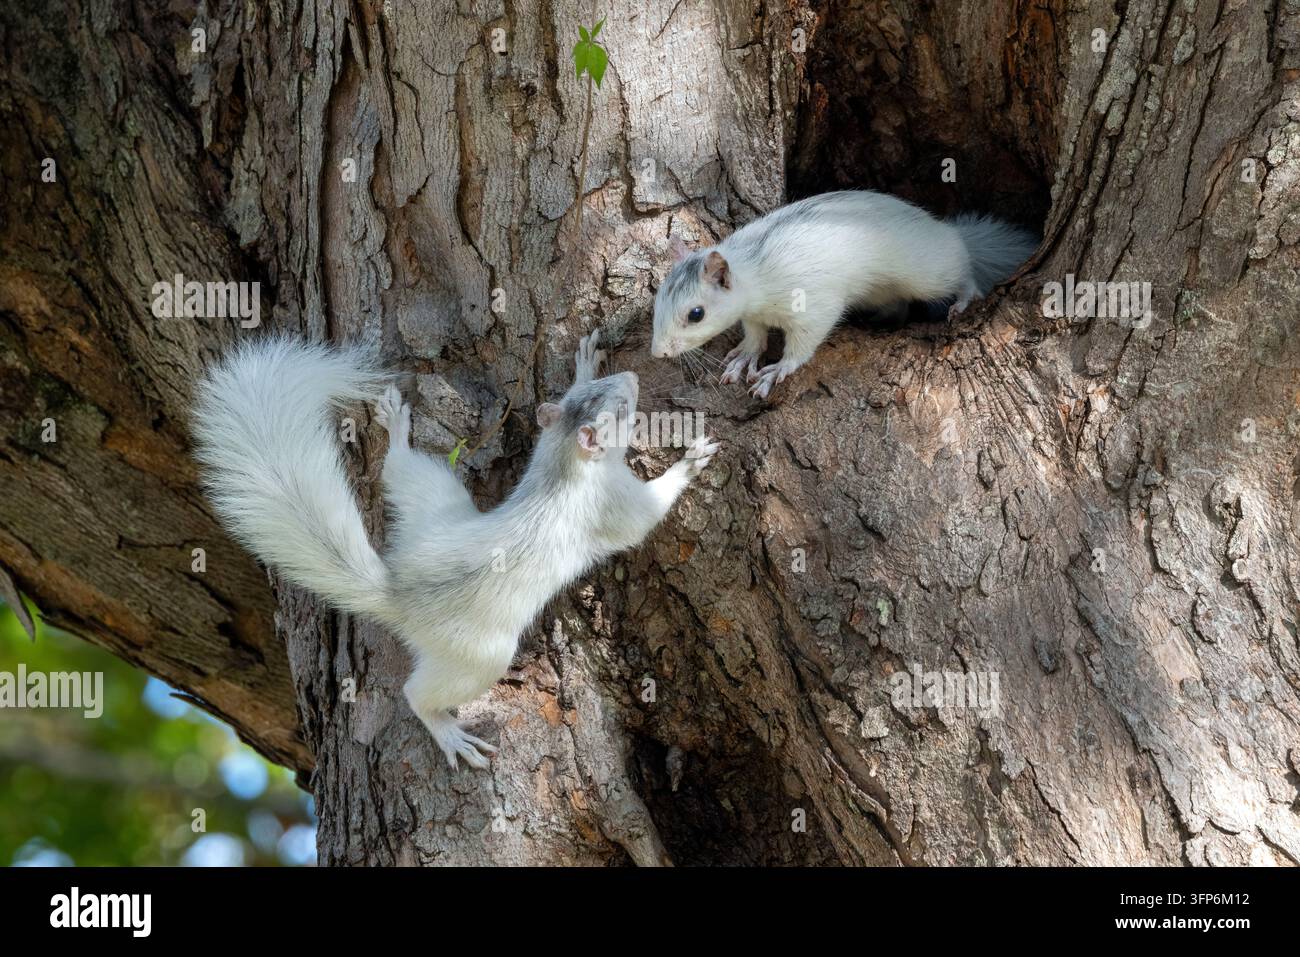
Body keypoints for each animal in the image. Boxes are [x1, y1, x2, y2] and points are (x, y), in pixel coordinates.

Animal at [191, 332, 719, 770]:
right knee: (416, 693)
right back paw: (447, 731)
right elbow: (646, 515)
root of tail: (398, 594)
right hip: (480, 655)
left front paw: (585, 358)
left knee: (400, 469)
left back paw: (395, 427)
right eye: (622, 411)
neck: (565, 461)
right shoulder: (613, 502)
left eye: (598, 390)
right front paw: (690, 462)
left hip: (435, 497)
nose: (631, 377)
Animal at [650, 190, 1038, 398]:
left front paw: (778, 370)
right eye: (657, 300)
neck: (754, 274)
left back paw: (963, 296)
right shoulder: (753, 315)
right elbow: (755, 335)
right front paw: (745, 356)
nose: (657, 353)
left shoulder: (812, 302)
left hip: (931, 273)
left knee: (963, 268)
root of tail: (944, 230)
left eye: (696, 314)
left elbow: (803, 344)